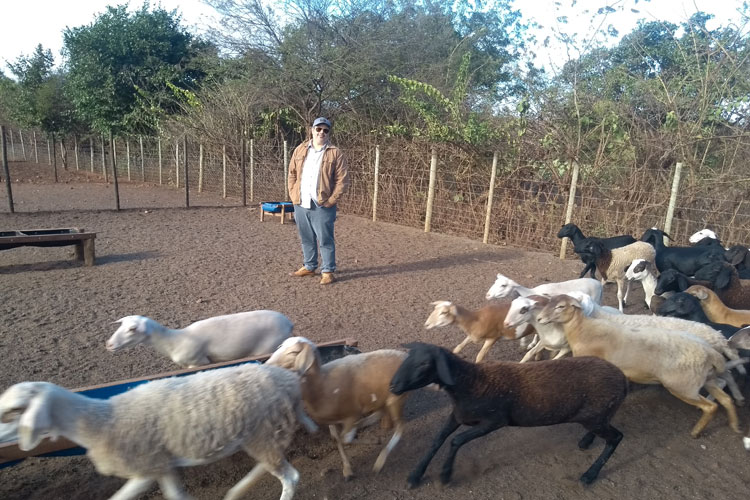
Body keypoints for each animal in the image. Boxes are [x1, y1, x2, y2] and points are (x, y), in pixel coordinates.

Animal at [0, 364, 318, 500]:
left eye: (14, 411)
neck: (102, 421)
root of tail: (288, 379)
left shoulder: (146, 468)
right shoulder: (160, 465)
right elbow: (175, 496)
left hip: (262, 433)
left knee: (289, 476)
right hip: (261, 434)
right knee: (270, 466)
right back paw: (235, 491)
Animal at [107, 308, 296, 368]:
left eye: (132, 329)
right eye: (120, 325)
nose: (108, 344)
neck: (172, 342)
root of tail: (288, 323)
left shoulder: (198, 362)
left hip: (267, 348)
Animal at [264, 336, 406, 480]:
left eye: (293, 352)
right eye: (280, 346)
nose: (267, 364)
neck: (321, 384)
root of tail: (402, 355)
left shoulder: (351, 415)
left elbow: (345, 440)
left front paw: (371, 441)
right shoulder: (334, 421)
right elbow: (337, 440)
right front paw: (347, 469)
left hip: (395, 399)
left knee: (400, 426)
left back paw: (380, 461)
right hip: (382, 398)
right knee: (380, 413)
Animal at [390, 342, 624, 486]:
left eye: (424, 364)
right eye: (406, 359)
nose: (393, 386)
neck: (470, 382)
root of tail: (622, 378)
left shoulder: (494, 421)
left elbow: (456, 441)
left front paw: (445, 475)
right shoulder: (458, 415)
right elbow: (437, 440)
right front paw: (415, 476)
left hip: (596, 416)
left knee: (616, 438)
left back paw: (589, 475)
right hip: (596, 416)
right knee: (605, 428)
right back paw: (586, 442)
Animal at [536, 292, 744, 438]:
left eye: (561, 306)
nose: (539, 318)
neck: (583, 328)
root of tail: (712, 347)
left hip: (683, 387)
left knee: (711, 405)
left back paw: (696, 431)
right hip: (705, 379)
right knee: (725, 399)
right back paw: (735, 425)